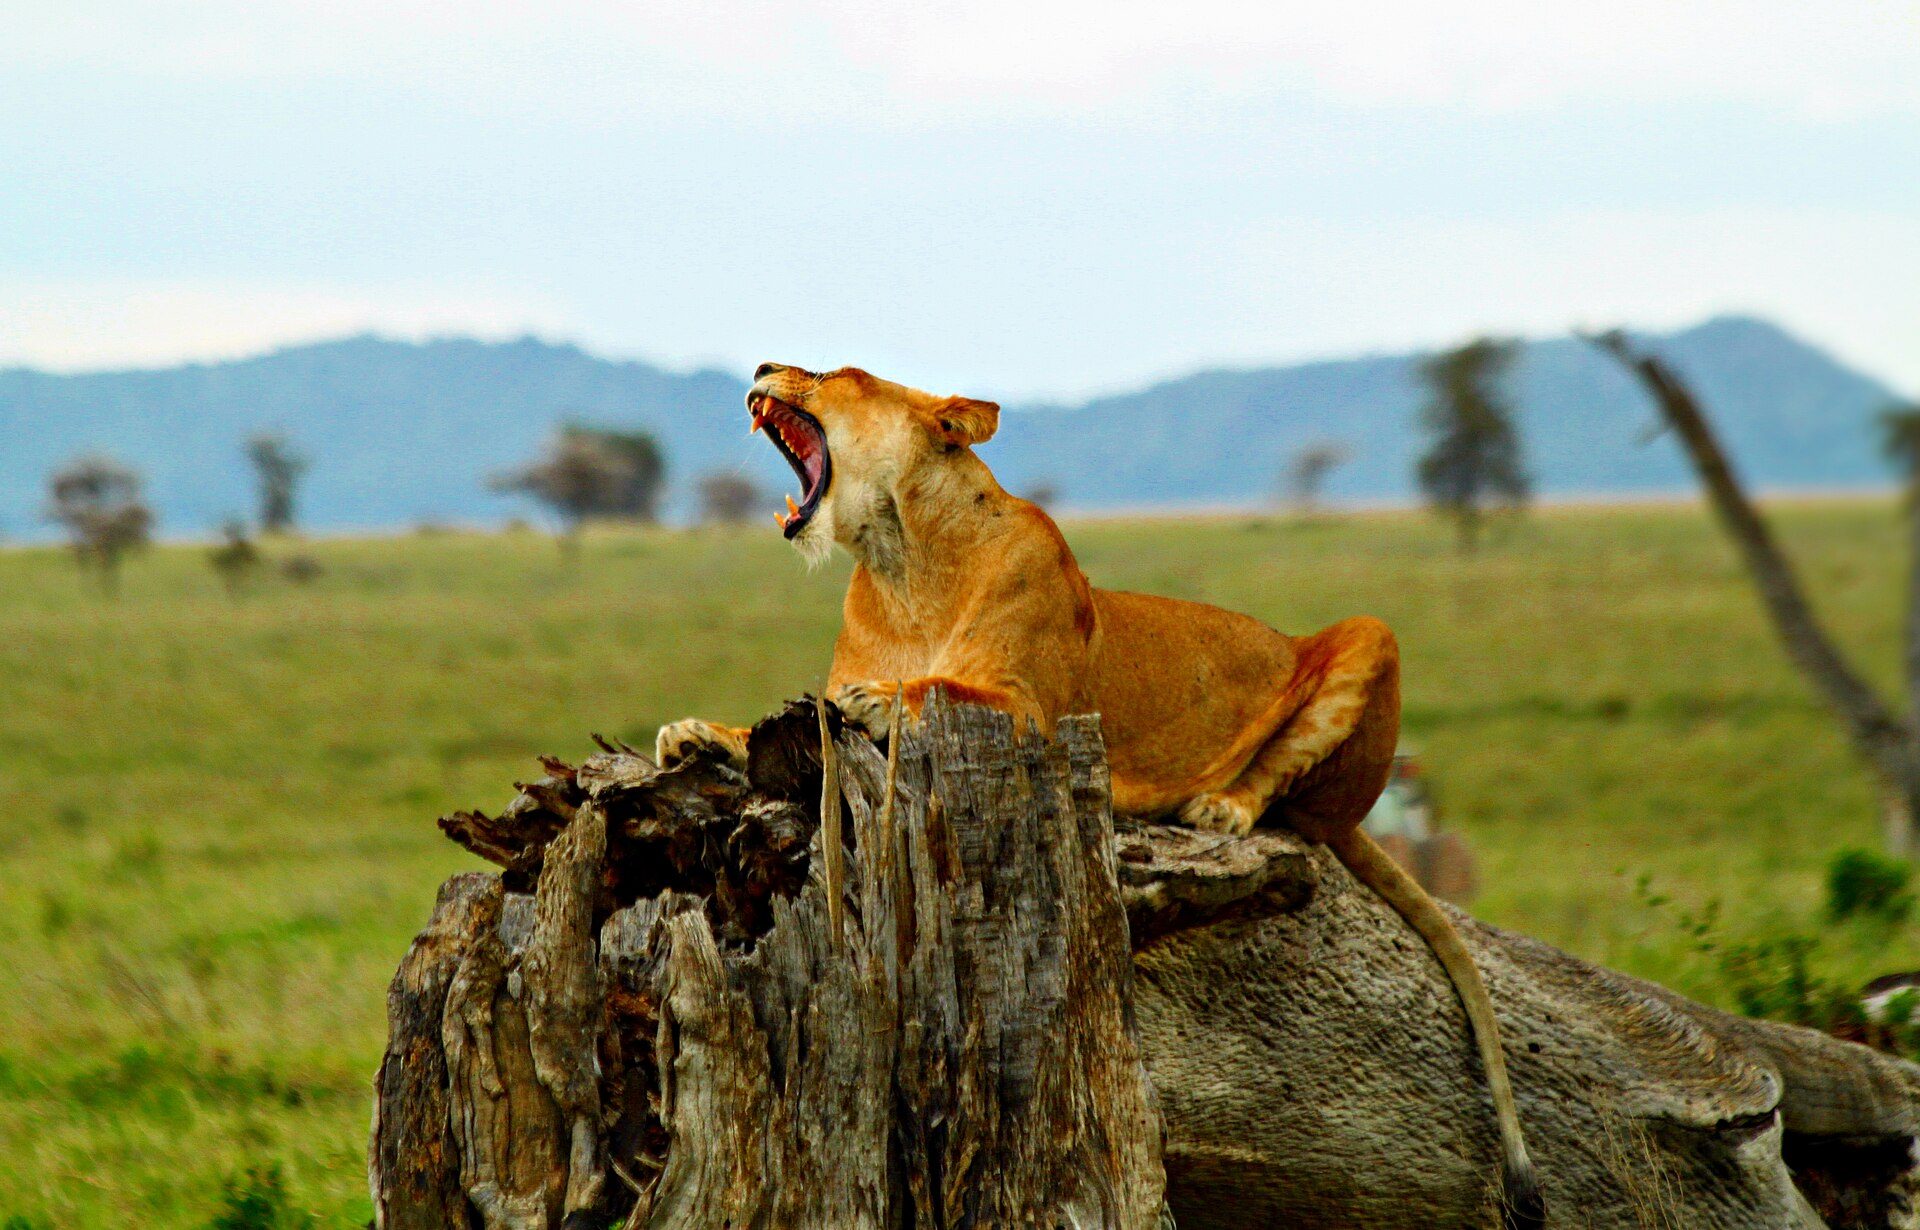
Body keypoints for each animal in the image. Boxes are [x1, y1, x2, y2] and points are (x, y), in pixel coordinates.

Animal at [658, 362, 1545, 1228]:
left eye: (833, 374)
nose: (761, 366)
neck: (901, 565)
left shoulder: (1033, 713)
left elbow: (938, 687)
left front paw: (879, 697)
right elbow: (782, 713)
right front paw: (696, 732)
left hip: (1367, 639)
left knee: (1296, 803)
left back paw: (1220, 804)